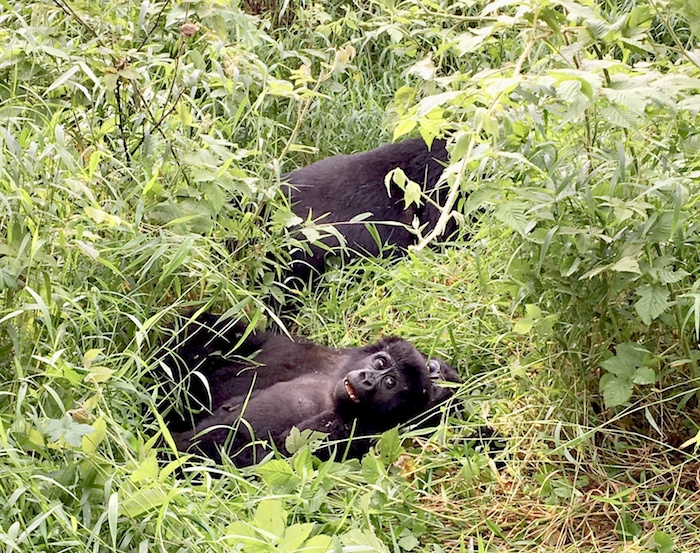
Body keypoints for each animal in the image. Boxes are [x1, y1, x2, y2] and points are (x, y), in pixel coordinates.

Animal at [162, 312, 462, 464]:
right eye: (380, 362)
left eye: (390, 383)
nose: (367, 378)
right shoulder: (310, 352)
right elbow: (226, 333)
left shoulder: (352, 431)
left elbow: (261, 455)